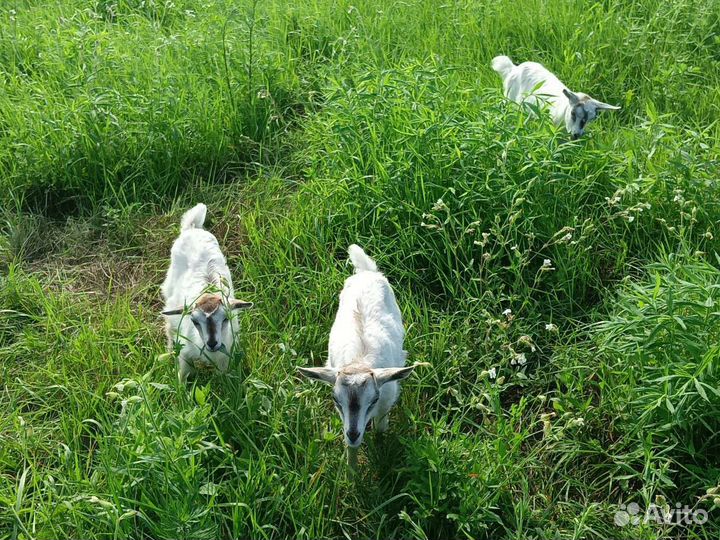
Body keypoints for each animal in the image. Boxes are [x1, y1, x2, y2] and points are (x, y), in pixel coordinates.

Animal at [161, 203, 253, 383]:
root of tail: (192, 228)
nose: (212, 343)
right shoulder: (185, 352)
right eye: (194, 321)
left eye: (225, 319)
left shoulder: (225, 357)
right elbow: (183, 375)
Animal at [298, 244, 415, 469]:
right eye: (335, 398)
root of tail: (367, 272)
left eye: (374, 398)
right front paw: (352, 469)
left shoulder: (385, 402)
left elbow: (380, 428)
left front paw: (380, 450)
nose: (353, 434)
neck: (360, 361)